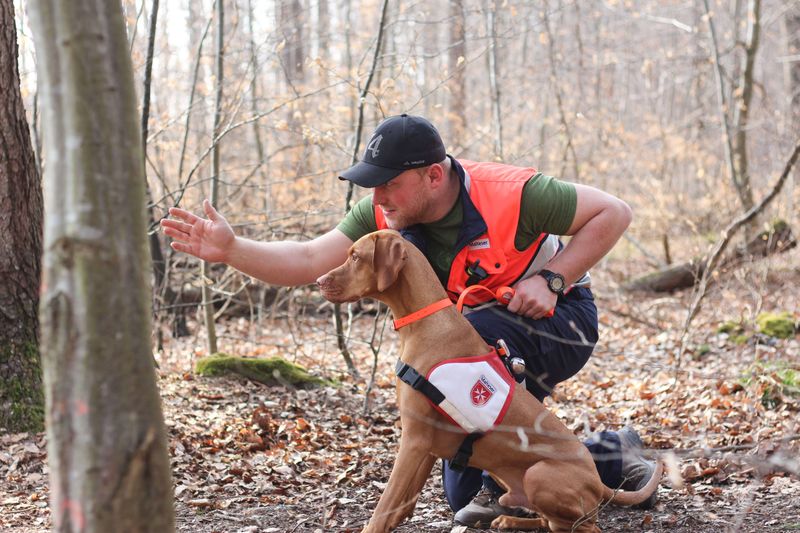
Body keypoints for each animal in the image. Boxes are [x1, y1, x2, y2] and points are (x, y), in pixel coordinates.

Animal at [316, 230, 660, 532]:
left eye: (355, 256)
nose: (318, 281)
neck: (427, 322)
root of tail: (597, 483)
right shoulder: (425, 445)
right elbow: (401, 503)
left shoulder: (413, 439)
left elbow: (386, 502)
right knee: (548, 522)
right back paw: (508, 520)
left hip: (539, 475)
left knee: (583, 527)